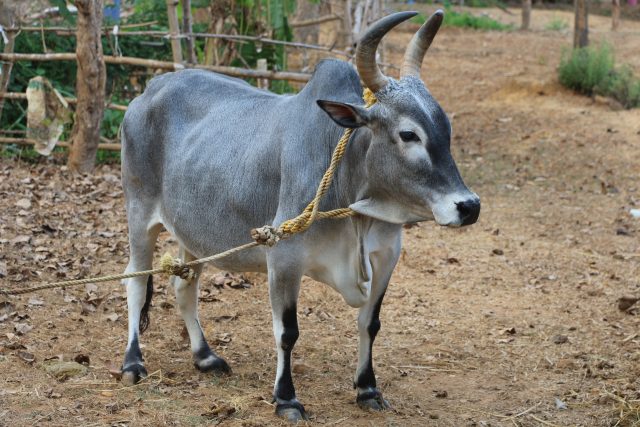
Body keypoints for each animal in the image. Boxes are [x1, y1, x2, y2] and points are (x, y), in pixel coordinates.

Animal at [119, 10, 480, 424]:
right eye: (408, 134)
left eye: (445, 128)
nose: (469, 206)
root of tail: (151, 87)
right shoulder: (284, 259)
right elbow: (287, 332)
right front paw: (286, 398)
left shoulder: (386, 256)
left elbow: (369, 323)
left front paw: (367, 388)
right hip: (138, 213)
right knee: (134, 282)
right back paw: (133, 363)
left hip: (192, 232)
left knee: (184, 287)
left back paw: (205, 357)